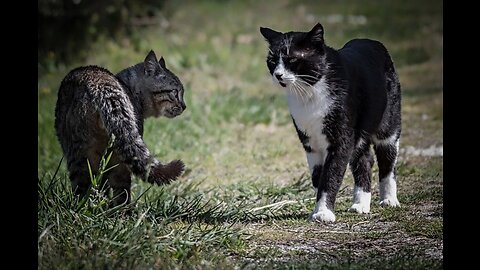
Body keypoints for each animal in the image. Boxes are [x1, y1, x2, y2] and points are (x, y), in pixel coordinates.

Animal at [258, 22, 402, 221]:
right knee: (365, 160)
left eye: (292, 59)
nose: (278, 74)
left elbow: (330, 175)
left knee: (387, 159)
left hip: (388, 125)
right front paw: (317, 209)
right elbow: (317, 176)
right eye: (272, 60)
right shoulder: (310, 142)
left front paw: (324, 212)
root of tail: (372, 41)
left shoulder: (341, 139)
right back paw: (360, 204)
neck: (309, 93)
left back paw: (389, 200)